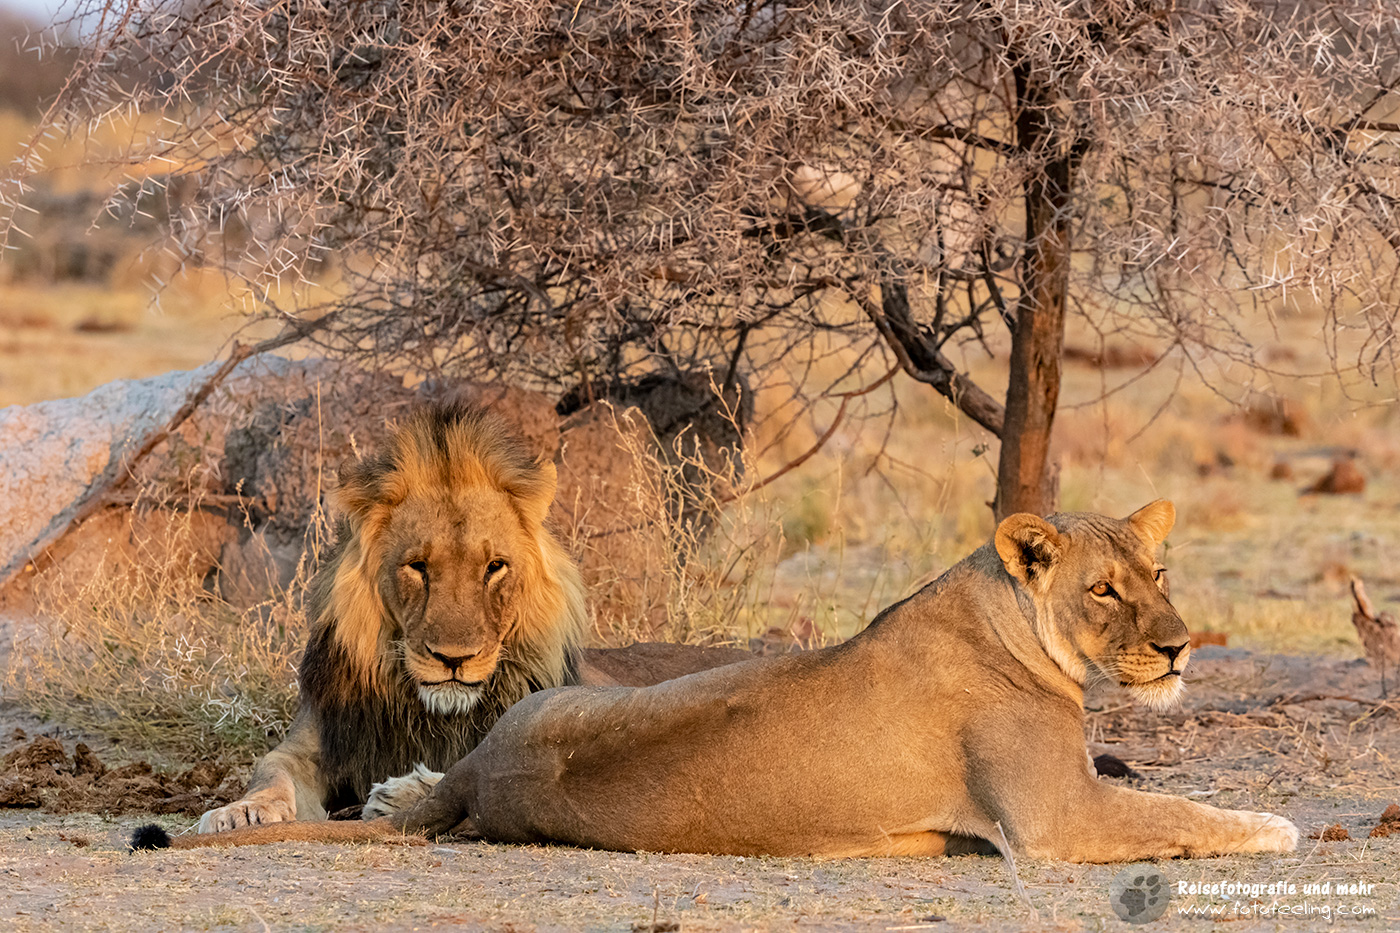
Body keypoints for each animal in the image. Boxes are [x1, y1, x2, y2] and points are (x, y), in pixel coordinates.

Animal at [175, 500, 1298, 862]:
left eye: (1160, 576)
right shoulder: (1057, 819)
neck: (1006, 616)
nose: (1179, 648)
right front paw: (1274, 826)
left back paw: (396, 791)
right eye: (1105, 591)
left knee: (428, 773)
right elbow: (1178, 813)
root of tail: (490, 781)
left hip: (555, 697)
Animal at [198, 402, 749, 834]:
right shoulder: (315, 741)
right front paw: (239, 812)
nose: (453, 660)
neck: (427, 712)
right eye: (418, 567)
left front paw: (401, 792)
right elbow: (271, 770)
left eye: (494, 567)